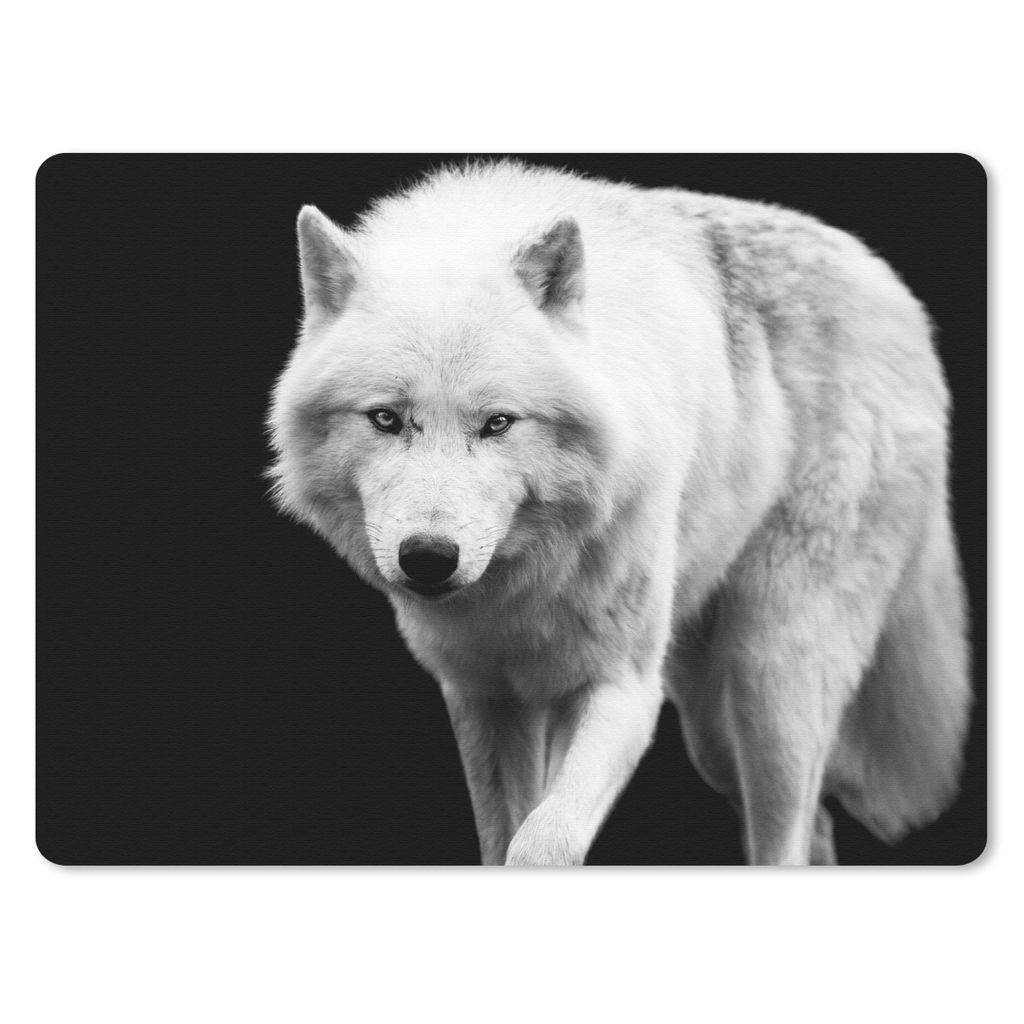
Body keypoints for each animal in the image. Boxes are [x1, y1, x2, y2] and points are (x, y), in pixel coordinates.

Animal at [267, 161, 971, 865]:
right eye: (386, 419)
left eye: (498, 423)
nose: (429, 559)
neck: (525, 583)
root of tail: (892, 289)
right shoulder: (483, 696)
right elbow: (504, 836)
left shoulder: (623, 689)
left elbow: (541, 841)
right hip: (712, 731)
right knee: (814, 827)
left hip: (770, 680)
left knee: (789, 832)